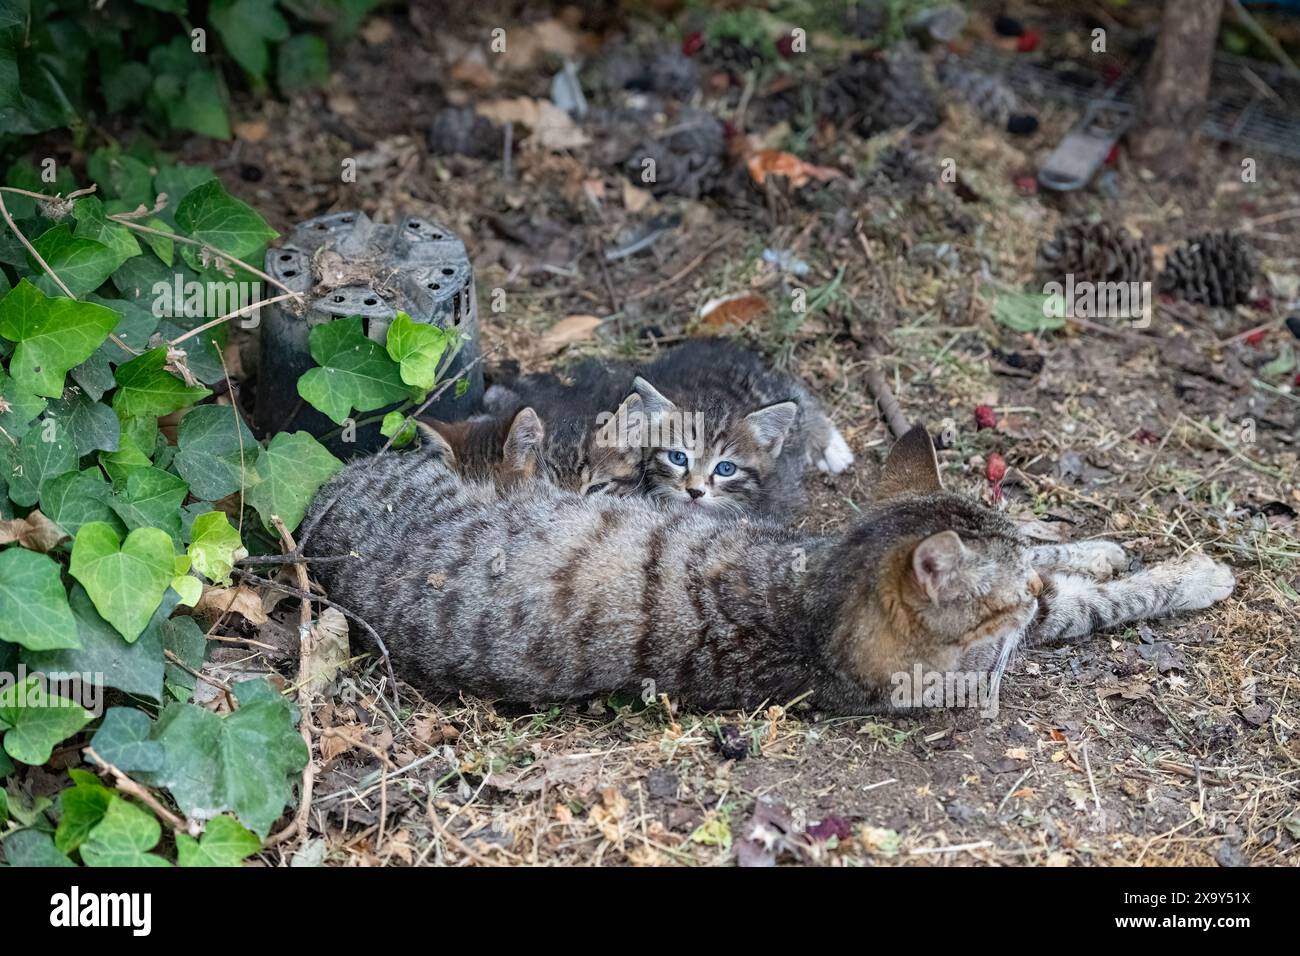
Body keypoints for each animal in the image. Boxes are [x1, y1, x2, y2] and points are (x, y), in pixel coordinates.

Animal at [299, 424, 1232, 712]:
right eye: (1001, 614)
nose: (1025, 591)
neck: (810, 600)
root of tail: (318, 506)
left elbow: (1047, 550)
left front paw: (1088, 544)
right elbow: (1085, 603)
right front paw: (1190, 574)